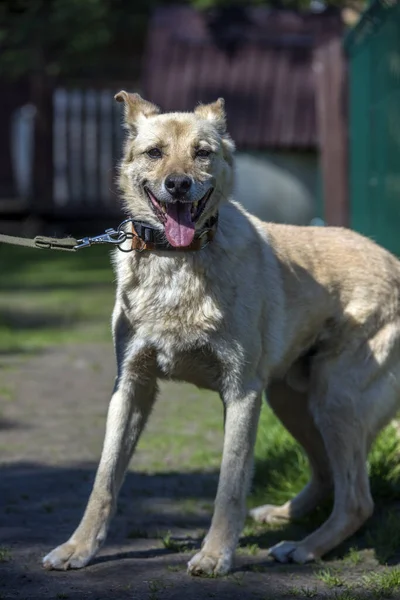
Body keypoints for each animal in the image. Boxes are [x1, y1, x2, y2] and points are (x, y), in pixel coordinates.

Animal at [43, 94, 400, 576]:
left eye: (202, 153)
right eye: (154, 152)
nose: (178, 184)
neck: (178, 262)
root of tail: (391, 259)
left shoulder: (241, 392)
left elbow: (229, 486)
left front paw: (215, 555)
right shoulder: (131, 386)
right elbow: (104, 478)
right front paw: (77, 548)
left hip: (334, 400)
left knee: (357, 500)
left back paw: (304, 547)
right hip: (291, 398)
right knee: (328, 474)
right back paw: (284, 516)